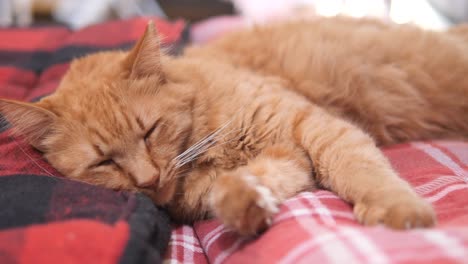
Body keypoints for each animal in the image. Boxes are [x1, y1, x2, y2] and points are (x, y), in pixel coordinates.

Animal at [0, 16, 468, 235]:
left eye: (149, 132)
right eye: (104, 163)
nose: (148, 180)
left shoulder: (315, 128)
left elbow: (361, 171)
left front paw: (398, 210)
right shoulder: (290, 158)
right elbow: (255, 182)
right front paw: (245, 203)